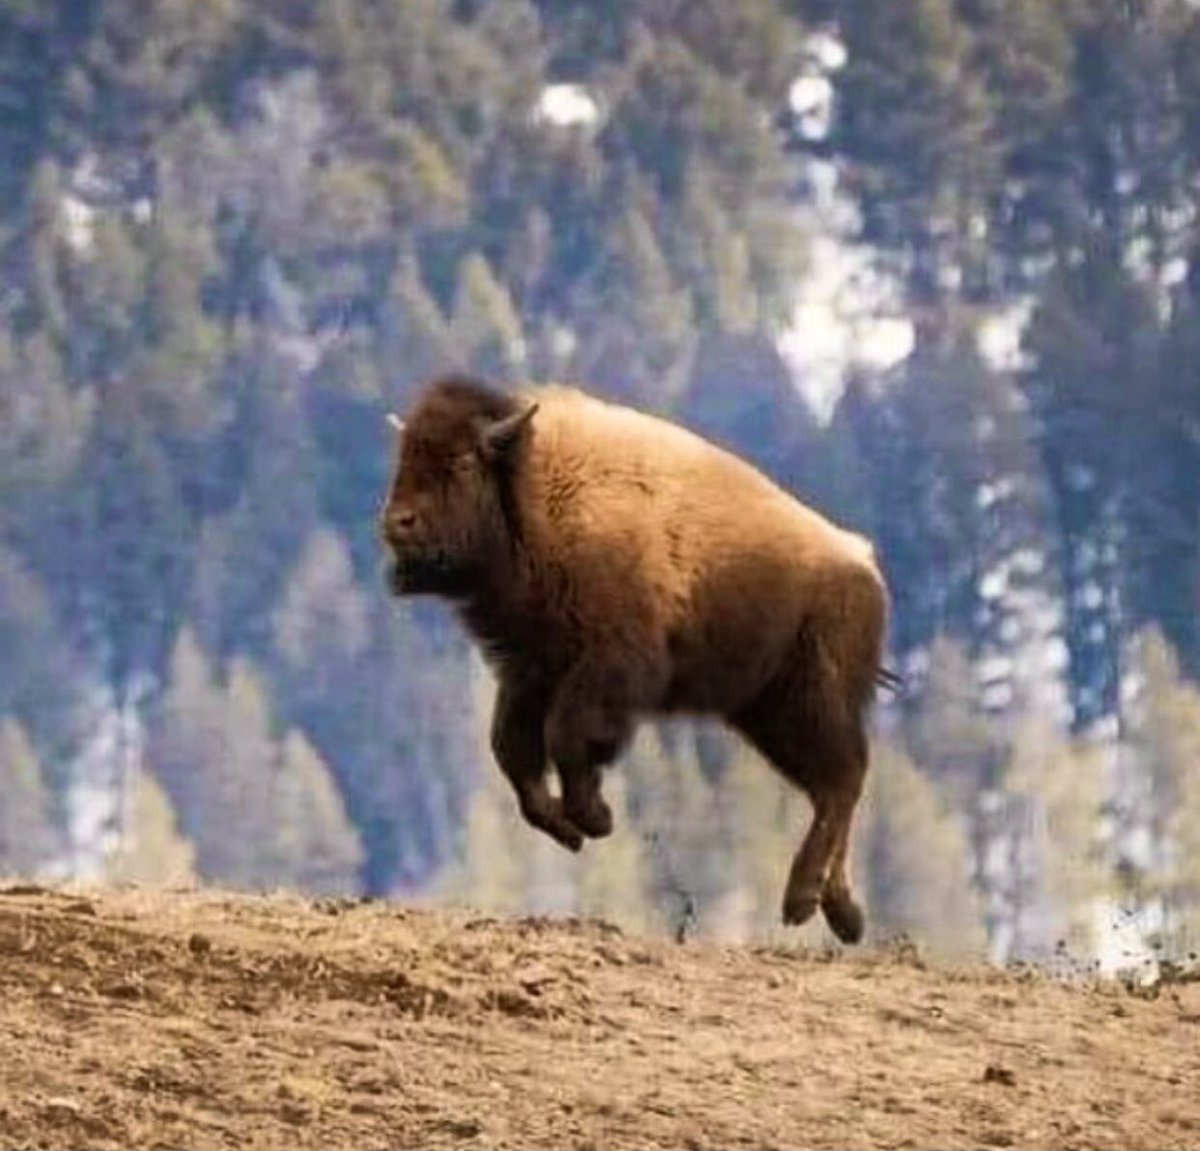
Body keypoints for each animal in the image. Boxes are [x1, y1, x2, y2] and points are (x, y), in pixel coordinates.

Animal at [379, 374, 897, 940]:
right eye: (405, 455)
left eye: (462, 463)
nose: (396, 522)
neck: (534, 491)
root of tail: (863, 565)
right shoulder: (531, 671)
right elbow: (513, 752)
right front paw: (570, 827)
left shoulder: (607, 668)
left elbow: (565, 736)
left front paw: (594, 816)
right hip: (765, 714)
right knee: (832, 789)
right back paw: (841, 913)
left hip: (806, 704)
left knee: (843, 780)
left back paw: (804, 901)